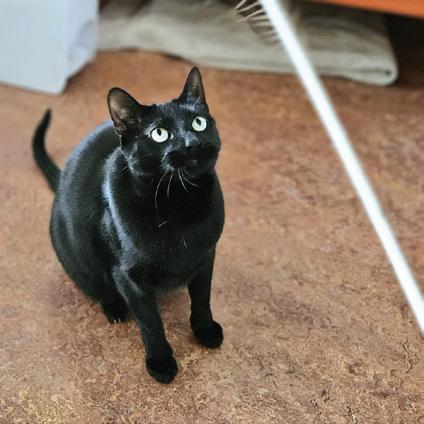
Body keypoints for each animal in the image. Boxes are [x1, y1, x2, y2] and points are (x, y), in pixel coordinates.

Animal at [32, 67, 225, 384]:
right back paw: (115, 308)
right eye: (159, 134)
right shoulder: (129, 277)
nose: (191, 143)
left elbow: (202, 298)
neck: (179, 202)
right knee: (95, 286)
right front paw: (160, 362)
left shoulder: (205, 257)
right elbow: (150, 322)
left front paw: (205, 330)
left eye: (198, 123)